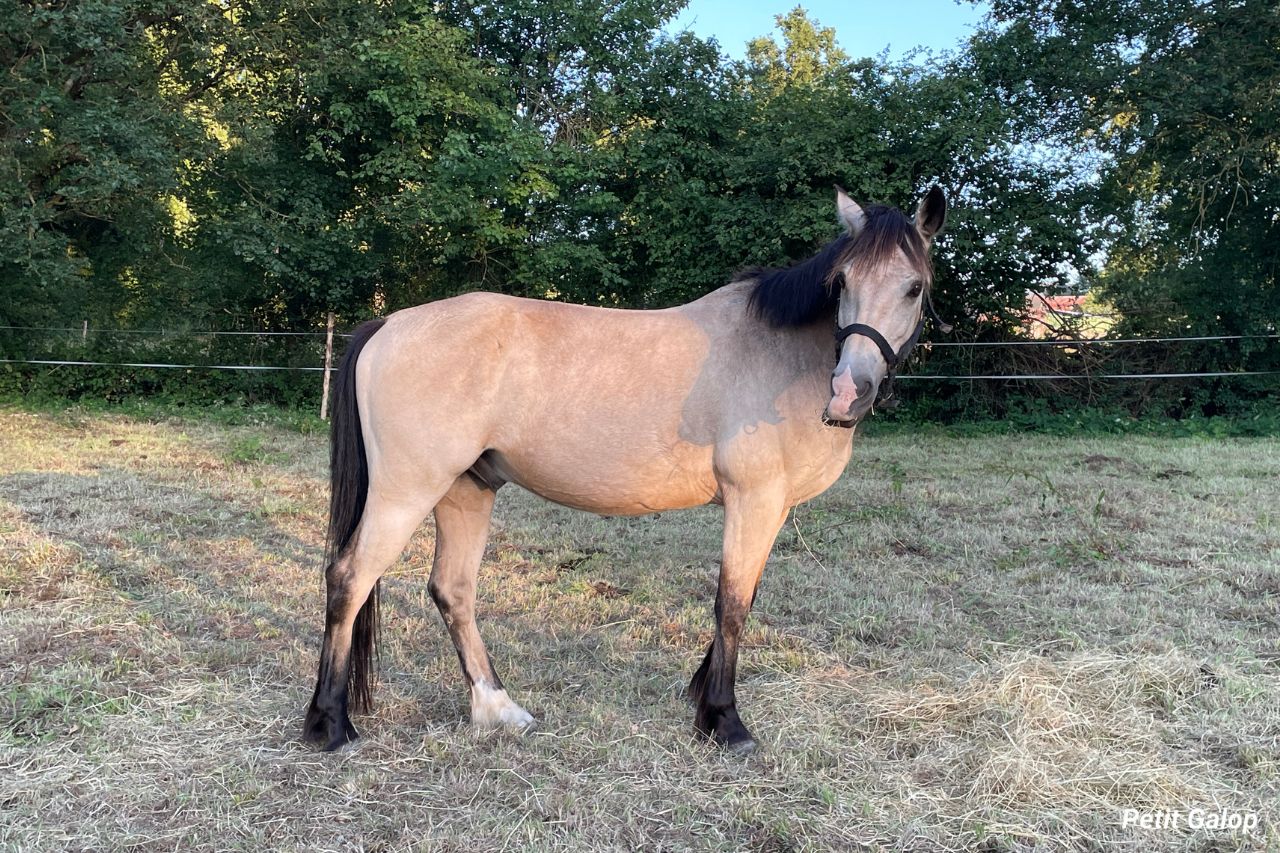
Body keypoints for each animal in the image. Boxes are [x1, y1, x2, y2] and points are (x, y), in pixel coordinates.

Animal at [303, 186, 948, 754]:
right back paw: (329, 725)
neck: (780, 354)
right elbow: (732, 604)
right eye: (841, 283)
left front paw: (701, 699)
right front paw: (724, 721)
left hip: (466, 489)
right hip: (406, 491)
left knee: (452, 590)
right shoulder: (754, 499)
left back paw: (497, 709)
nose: (847, 392)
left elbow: (744, 596)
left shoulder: (771, 507)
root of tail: (388, 324)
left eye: (913, 288)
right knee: (349, 579)